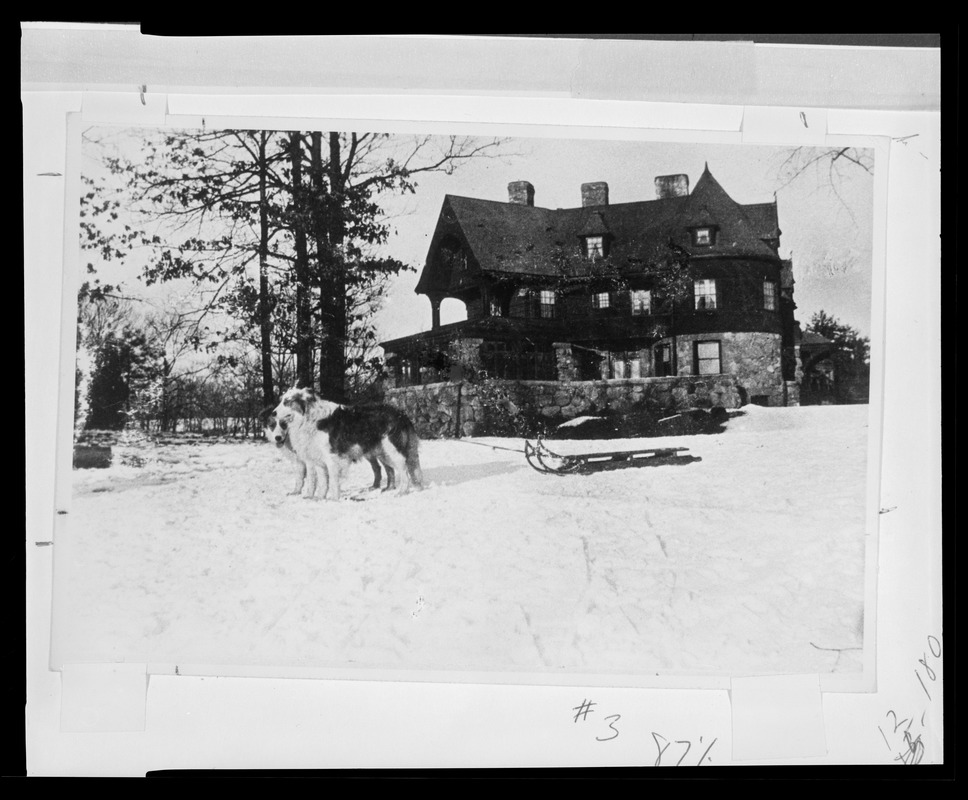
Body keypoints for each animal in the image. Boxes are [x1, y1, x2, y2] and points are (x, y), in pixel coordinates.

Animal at [266, 388, 422, 500]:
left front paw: (333, 499)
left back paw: (402, 492)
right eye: (281, 401)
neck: (310, 419)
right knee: (391, 470)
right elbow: (322, 482)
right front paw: (319, 498)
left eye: (288, 401)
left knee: (404, 471)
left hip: (394, 451)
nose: (273, 413)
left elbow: (333, 481)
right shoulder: (318, 460)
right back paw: (390, 489)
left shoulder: (332, 458)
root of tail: (402, 414)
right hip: (382, 452)